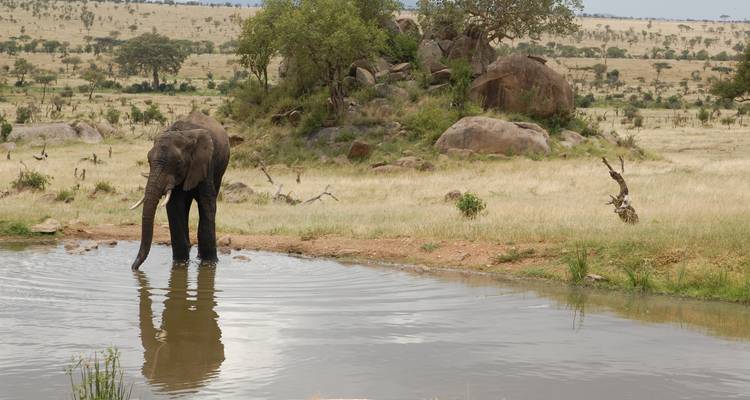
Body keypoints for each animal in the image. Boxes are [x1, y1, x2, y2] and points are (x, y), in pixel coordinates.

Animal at [130, 111, 230, 270]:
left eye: (178, 163)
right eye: (148, 161)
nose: (134, 268)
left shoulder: (205, 162)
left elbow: (207, 204)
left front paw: (209, 263)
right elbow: (174, 207)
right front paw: (180, 263)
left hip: (220, 170)